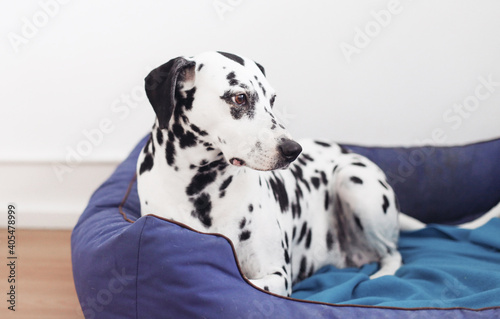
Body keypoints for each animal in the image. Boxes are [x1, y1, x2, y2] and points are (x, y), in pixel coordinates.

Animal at [136, 50, 500, 298]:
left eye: (272, 99)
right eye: (240, 97)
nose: (292, 149)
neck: (201, 189)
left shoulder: (276, 275)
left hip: (355, 182)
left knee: (393, 252)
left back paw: (381, 278)